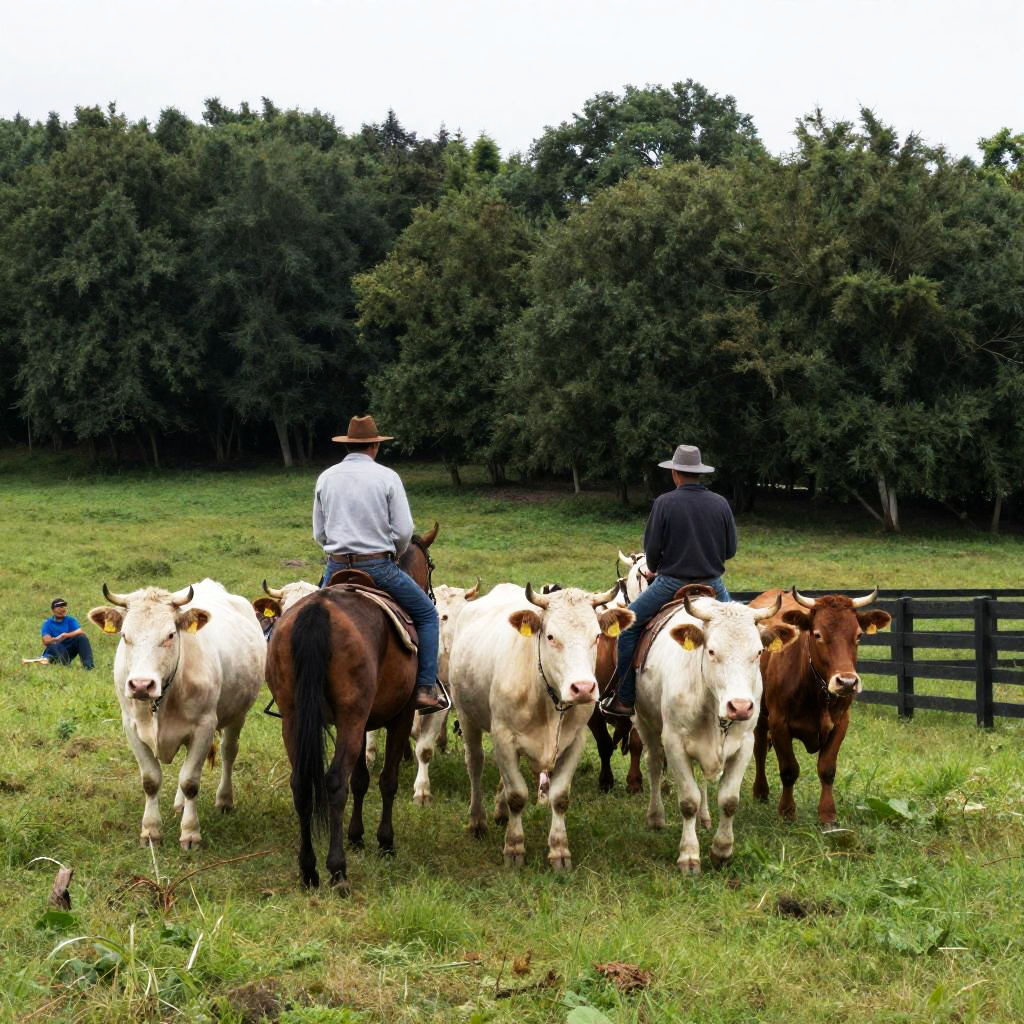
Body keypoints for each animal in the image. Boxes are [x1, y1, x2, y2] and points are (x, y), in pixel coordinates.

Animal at [89, 579, 265, 850]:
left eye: (170, 635)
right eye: (125, 635)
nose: (141, 685)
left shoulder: (204, 726)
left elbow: (190, 781)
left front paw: (190, 833)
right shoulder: (131, 727)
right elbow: (151, 780)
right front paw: (151, 830)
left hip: (237, 714)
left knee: (228, 752)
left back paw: (224, 799)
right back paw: (180, 804)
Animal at [266, 523, 438, 891]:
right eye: (430, 565)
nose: (429, 596)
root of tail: (318, 612)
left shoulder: (364, 722)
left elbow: (360, 778)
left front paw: (356, 836)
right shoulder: (399, 716)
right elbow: (386, 780)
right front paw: (384, 842)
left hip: (297, 718)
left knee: (301, 784)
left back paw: (308, 870)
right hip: (349, 718)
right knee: (334, 782)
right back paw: (337, 870)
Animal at [448, 582, 634, 869]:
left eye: (597, 636)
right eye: (551, 637)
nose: (583, 688)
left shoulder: (575, 742)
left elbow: (559, 797)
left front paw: (559, 851)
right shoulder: (504, 737)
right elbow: (517, 795)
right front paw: (514, 848)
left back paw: (500, 813)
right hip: (468, 717)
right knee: (475, 764)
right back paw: (477, 821)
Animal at [632, 592, 796, 873]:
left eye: (758, 652)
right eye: (711, 651)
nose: (740, 706)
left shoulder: (744, 745)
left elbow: (729, 800)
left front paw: (722, 850)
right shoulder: (674, 743)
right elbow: (688, 801)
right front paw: (689, 856)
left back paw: (705, 818)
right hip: (646, 723)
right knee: (653, 764)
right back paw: (656, 817)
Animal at [750, 587, 892, 827]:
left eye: (858, 635)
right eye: (817, 634)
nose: (847, 682)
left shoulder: (841, 723)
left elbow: (827, 769)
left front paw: (828, 815)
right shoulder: (779, 723)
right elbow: (789, 769)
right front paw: (787, 811)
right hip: (759, 715)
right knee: (759, 749)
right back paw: (760, 791)